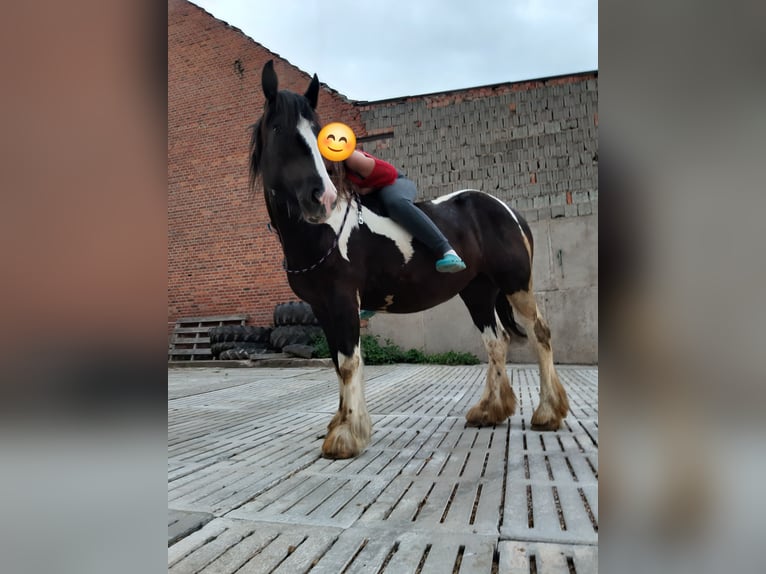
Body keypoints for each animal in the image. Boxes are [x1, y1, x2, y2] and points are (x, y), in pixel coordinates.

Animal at [249, 60, 569, 459]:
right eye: (278, 128)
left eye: (320, 133)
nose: (320, 198)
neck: (322, 231)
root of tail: (507, 209)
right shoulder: (321, 306)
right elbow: (338, 363)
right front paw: (340, 424)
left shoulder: (342, 300)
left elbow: (350, 362)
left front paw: (347, 436)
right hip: (477, 291)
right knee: (496, 342)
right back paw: (489, 411)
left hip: (516, 284)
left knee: (540, 332)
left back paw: (547, 414)